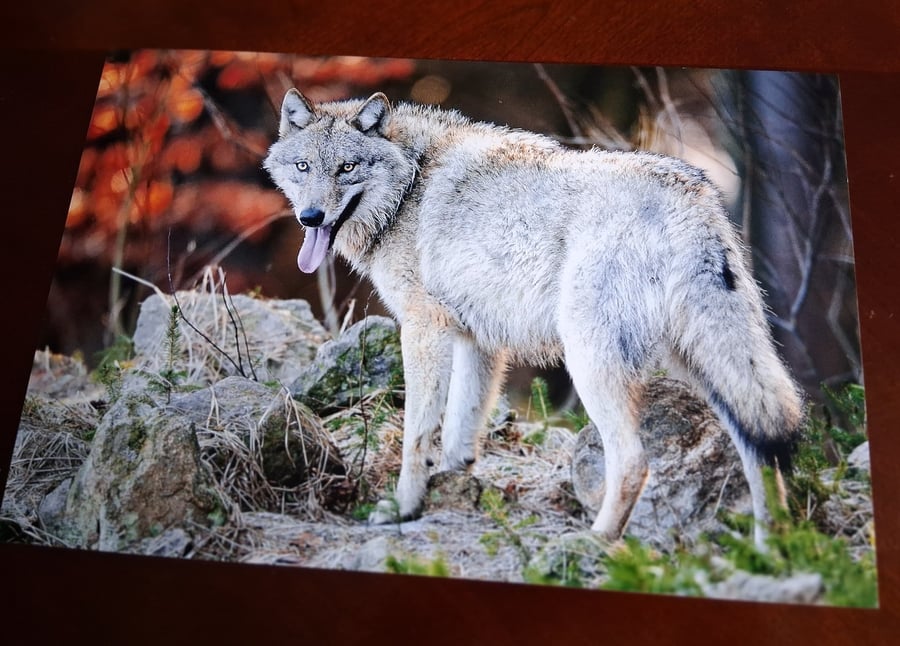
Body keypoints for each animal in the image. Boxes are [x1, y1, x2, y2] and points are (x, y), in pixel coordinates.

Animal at [263, 88, 804, 547]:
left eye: (347, 167)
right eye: (304, 166)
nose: (311, 217)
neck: (409, 184)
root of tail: (691, 200)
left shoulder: (423, 330)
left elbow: (418, 434)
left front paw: (403, 508)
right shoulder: (477, 341)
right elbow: (461, 429)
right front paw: (453, 485)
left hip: (591, 363)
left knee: (634, 461)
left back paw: (595, 541)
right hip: (704, 367)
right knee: (761, 450)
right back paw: (770, 553)